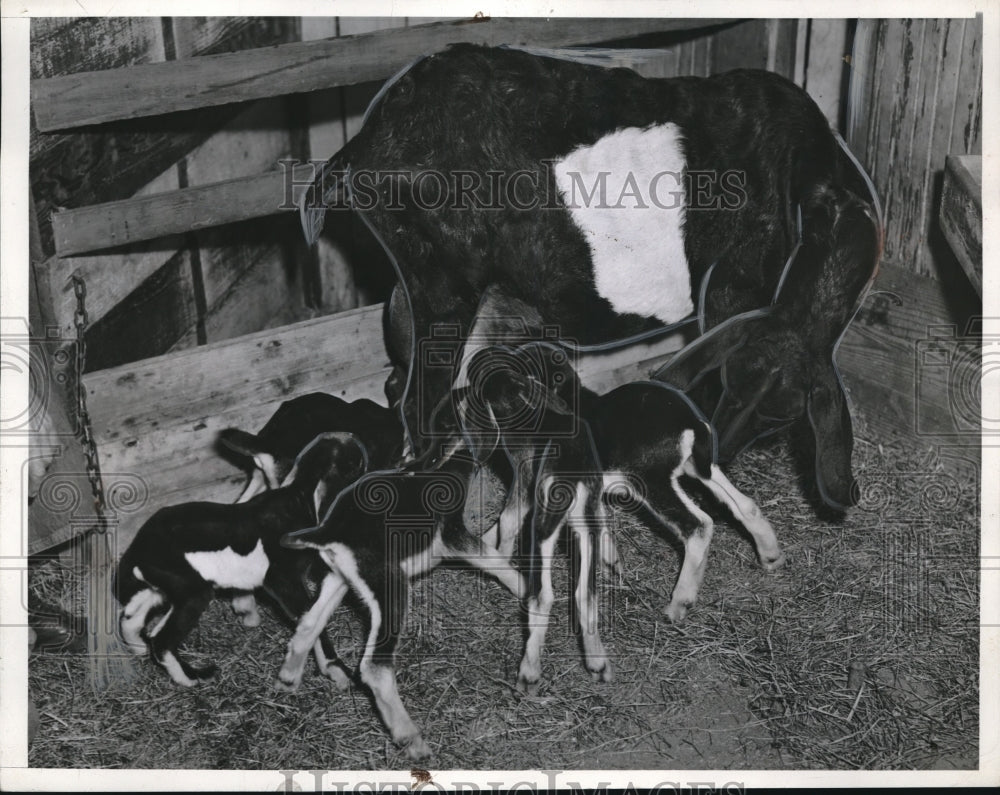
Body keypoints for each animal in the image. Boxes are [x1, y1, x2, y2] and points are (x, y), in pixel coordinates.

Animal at [114, 432, 368, 688]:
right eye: (354, 463)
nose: (354, 438)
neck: (298, 496)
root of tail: (140, 547)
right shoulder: (282, 578)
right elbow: (311, 619)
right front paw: (335, 671)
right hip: (191, 589)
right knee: (161, 639)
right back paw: (192, 677)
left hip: (159, 586)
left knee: (131, 617)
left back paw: (138, 648)